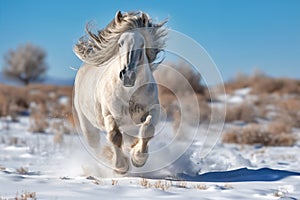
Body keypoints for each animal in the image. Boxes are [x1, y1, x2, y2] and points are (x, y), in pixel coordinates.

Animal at [72, 11, 166, 173]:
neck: (128, 93)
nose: (128, 75)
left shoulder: (153, 109)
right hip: (87, 123)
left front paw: (138, 158)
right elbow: (114, 136)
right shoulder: (109, 115)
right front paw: (121, 166)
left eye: (142, 44)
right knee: (95, 145)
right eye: (120, 43)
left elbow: (147, 129)